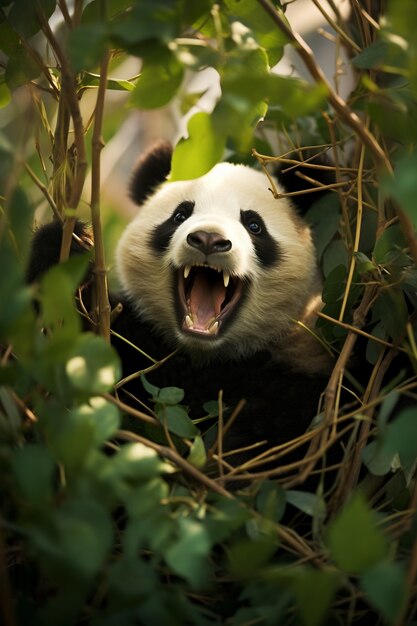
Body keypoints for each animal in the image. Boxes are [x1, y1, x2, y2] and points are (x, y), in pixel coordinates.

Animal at [27, 141, 334, 472]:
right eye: (180, 215)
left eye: (254, 225)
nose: (209, 239)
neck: (203, 355)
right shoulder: (137, 343)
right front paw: (67, 246)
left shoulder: (297, 365)